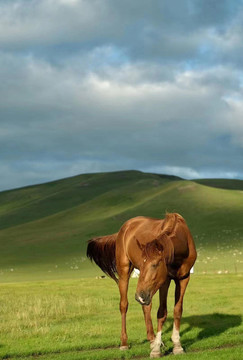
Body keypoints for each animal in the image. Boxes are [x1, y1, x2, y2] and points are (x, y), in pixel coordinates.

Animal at [86, 214, 196, 358]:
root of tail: (126, 226)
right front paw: (156, 350)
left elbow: (177, 310)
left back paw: (152, 339)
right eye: (142, 265)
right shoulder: (165, 280)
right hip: (125, 272)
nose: (139, 296)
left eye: (155, 264)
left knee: (146, 306)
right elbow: (162, 312)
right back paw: (125, 343)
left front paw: (177, 346)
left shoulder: (184, 278)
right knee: (124, 305)